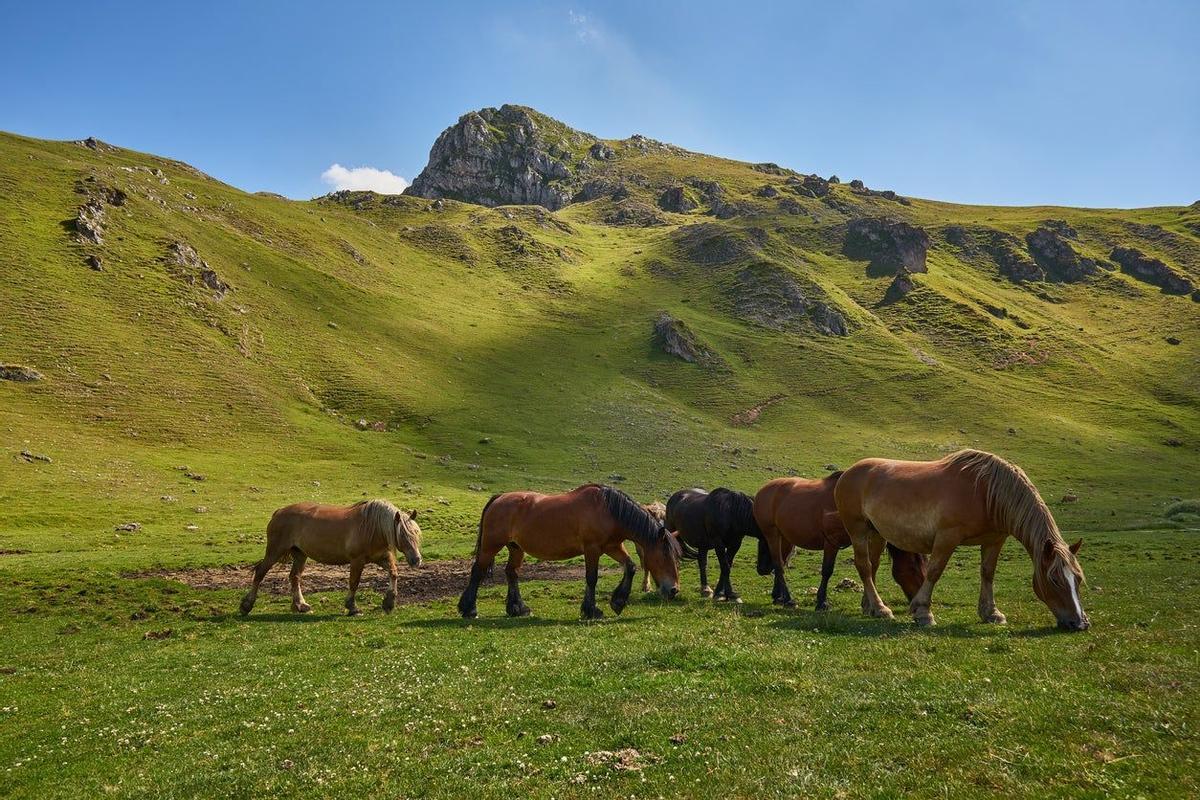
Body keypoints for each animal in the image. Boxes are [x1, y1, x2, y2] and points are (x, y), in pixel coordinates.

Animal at [238, 501, 422, 618]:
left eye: (416, 534)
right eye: (403, 535)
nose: (416, 560)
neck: (371, 527)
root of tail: (278, 512)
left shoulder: (380, 558)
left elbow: (394, 573)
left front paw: (389, 603)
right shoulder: (357, 560)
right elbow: (354, 583)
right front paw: (353, 607)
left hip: (300, 554)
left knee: (294, 577)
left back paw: (300, 605)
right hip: (275, 551)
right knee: (260, 573)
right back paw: (246, 605)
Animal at [453, 484, 691, 623]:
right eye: (665, 555)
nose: (674, 590)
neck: (609, 509)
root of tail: (499, 498)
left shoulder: (612, 547)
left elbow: (630, 567)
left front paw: (618, 602)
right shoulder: (592, 549)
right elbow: (592, 578)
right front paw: (591, 610)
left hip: (515, 547)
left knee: (512, 573)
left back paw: (518, 608)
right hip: (491, 545)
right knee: (477, 571)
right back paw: (469, 609)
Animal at [748, 474, 926, 614]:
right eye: (914, 569)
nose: (918, 604)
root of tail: (764, 490)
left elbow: (871, 567)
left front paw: (868, 604)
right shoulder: (831, 543)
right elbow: (827, 571)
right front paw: (822, 602)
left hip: (785, 538)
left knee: (780, 564)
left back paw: (777, 596)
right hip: (772, 534)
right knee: (778, 565)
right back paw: (788, 599)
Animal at [835, 450, 1089, 633]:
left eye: (1077, 579)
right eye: (1055, 580)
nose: (1080, 623)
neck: (985, 492)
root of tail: (848, 473)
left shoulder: (994, 540)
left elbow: (988, 573)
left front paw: (991, 613)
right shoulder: (947, 538)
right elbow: (934, 572)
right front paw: (923, 612)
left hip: (877, 533)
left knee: (872, 567)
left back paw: (870, 606)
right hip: (857, 530)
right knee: (864, 566)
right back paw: (880, 608)